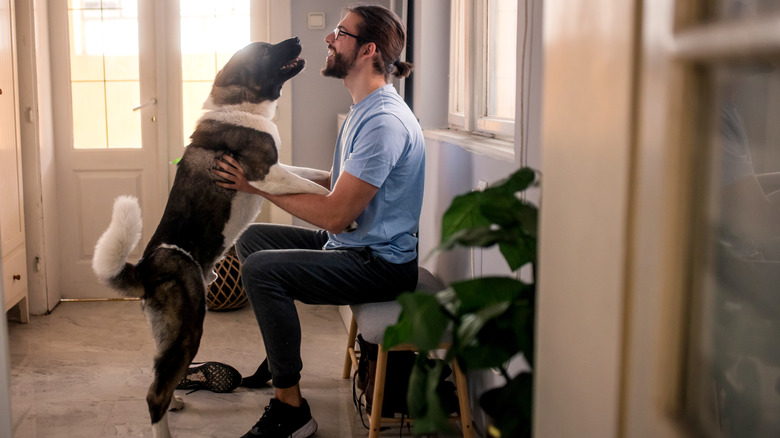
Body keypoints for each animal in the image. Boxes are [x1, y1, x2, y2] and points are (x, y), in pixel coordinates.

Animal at [93, 38, 330, 438]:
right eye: (267, 52)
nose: (297, 40)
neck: (241, 102)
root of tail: (146, 267)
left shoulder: (282, 168)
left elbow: (315, 174)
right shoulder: (267, 176)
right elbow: (319, 191)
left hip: (170, 335)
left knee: (161, 376)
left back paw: (176, 400)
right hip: (189, 329)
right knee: (153, 394)